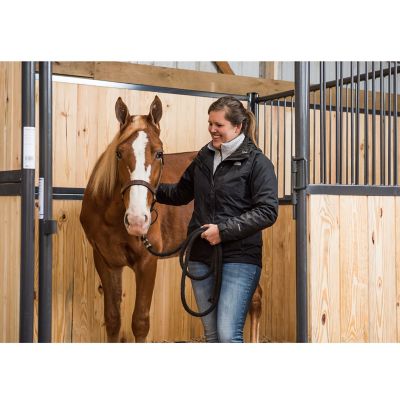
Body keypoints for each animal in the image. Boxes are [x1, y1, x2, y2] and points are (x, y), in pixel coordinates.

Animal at [80, 95, 262, 342]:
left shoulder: (147, 262)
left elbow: (140, 322)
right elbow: (113, 320)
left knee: (255, 299)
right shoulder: (106, 262)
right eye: (118, 153)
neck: (111, 217)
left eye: (159, 153)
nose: (137, 220)